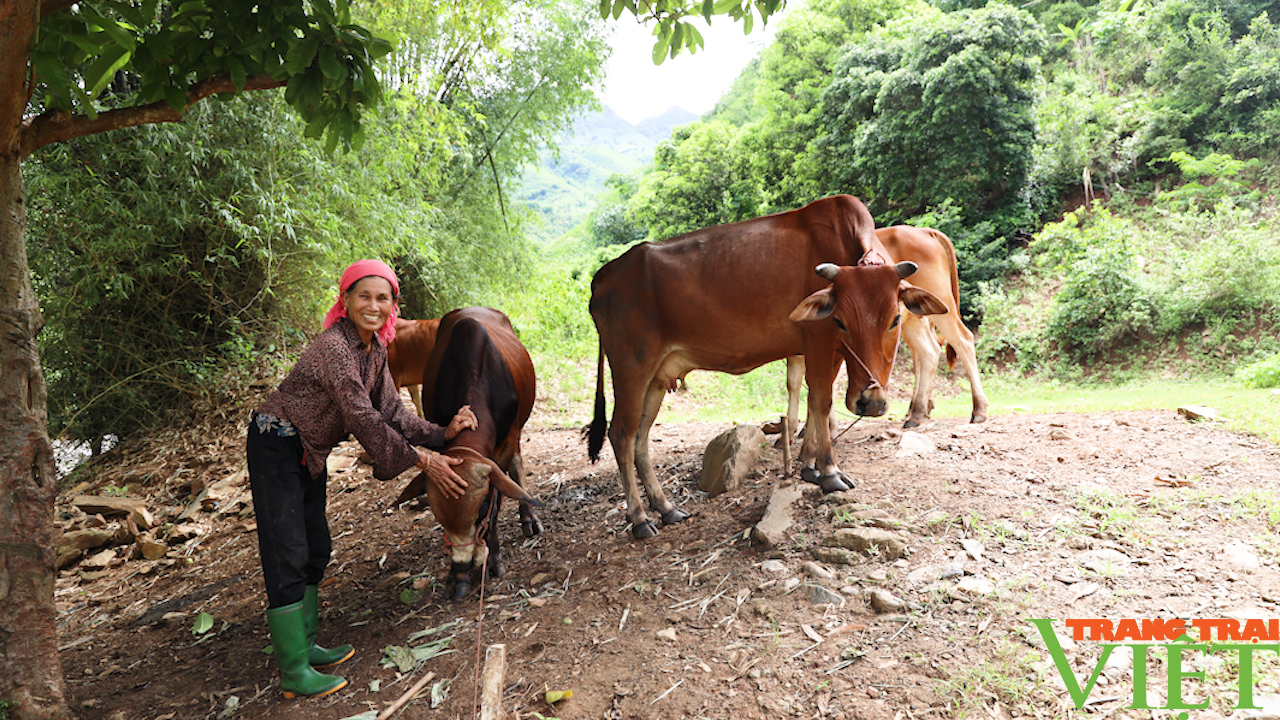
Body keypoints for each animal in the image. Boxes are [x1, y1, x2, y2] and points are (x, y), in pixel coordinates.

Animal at [396, 304, 542, 597]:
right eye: (439, 517)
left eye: (480, 510)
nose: (463, 563)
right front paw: (457, 575)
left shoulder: (504, 446)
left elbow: (498, 501)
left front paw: (493, 559)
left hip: (517, 432)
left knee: (517, 466)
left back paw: (528, 517)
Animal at [586, 193, 947, 535]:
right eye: (840, 321)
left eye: (895, 319)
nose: (869, 402)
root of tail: (603, 276)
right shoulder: (818, 339)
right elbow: (820, 401)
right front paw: (829, 471)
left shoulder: (828, 353)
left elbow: (816, 401)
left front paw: (808, 465)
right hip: (631, 370)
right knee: (621, 434)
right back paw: (639, 518)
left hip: (657, 378)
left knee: (641, 437)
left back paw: (666, 507)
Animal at [778, 224, 988, 427]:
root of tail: (924, 231)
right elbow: (796, 381)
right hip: (913, 318)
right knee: (928, 351)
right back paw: (917, 411)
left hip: (942, 304)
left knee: (962, 340)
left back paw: (978, 409)